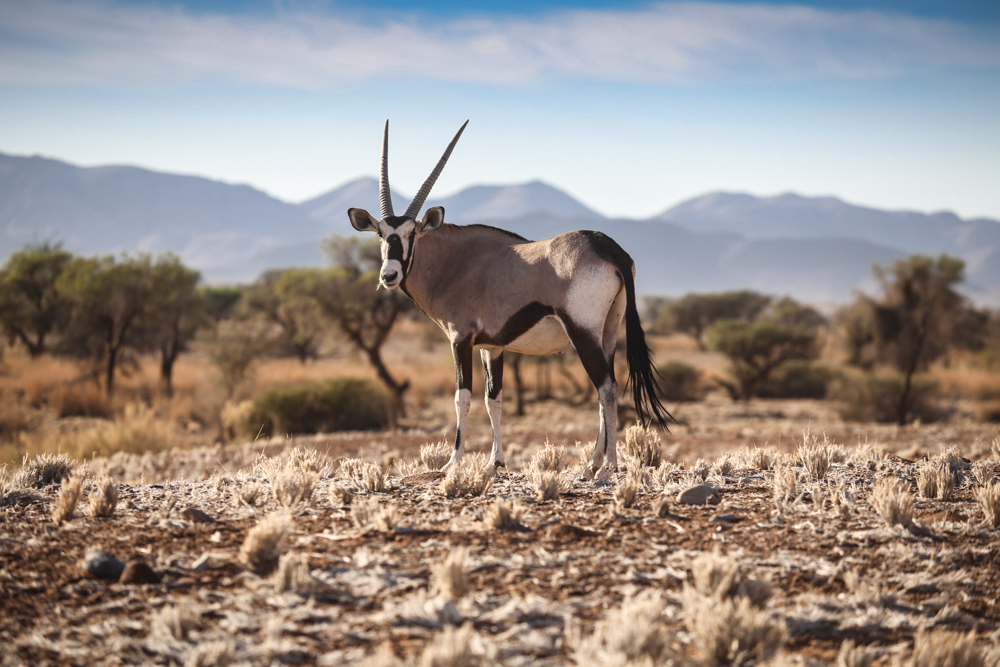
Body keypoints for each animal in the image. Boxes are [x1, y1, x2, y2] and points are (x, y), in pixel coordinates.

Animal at [348, 120, 668, 474]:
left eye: (411, 234)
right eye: (381, 234)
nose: (389, 275)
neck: (454, 262)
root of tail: (610, 248)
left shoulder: (461, 339)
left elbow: (462, 397)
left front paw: (453, 462)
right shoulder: (492, 347)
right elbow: (494, 399)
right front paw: (495, 461)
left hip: (582, 332)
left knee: (607, 389)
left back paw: (607, 466)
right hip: (608, 333)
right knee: (604, 388)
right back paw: (592, 463)